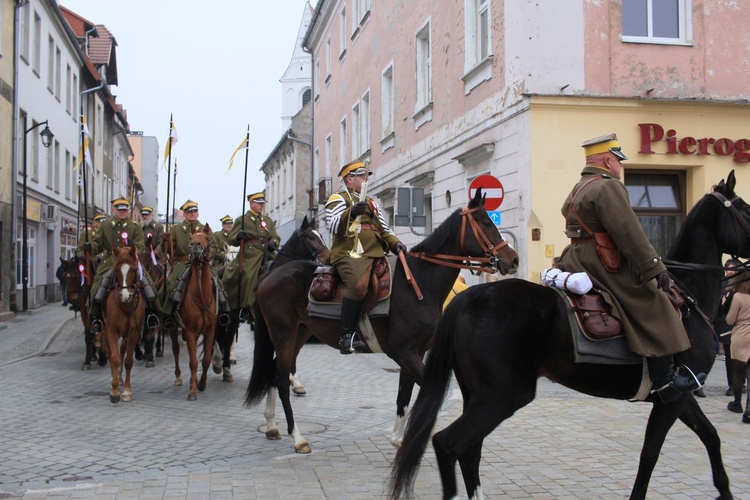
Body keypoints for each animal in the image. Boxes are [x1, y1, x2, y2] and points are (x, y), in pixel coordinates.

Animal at [101, 245, 145, 402]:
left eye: (133, 269)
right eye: (117, 270)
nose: (126, 296)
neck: (125, 306)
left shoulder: (133, 333)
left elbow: (128, 361)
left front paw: (126, 391)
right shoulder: (111, 331)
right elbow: (114, 357)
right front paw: (114, 391)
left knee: (122, 349)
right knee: (110, 352)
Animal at [169, 225, 219, 400]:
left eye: (206, 237)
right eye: (190, 238)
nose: (195, 245)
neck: (201, 296)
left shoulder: (210, 332)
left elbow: (206, 360)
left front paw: (202, 383)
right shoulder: (190, 331)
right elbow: (193, 362)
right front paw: (192, 390)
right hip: (173, 327)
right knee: (176, 349)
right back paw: (178, 377)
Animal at [212, 215, 328, 386]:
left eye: (320, 235)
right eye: (310, 236)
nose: (327, 256)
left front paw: (295, 381)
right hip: (230, 315)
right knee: (225, 339)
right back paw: (224, 367)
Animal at [244, 188, 520, 454]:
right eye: (485, 223)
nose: (514, 259)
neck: (418, 283)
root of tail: (269, 277)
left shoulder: (414, 353)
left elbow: (403, 396)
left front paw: (398, 439)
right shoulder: (403, 352)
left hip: (298, 334)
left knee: (273, 373)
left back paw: (271, 425)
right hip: (284, 334)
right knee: (280, 380)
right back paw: (298, 437)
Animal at [388, 170, 750, 498]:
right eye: (746, 209)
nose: (510, 259)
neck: (688, 297)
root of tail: (471, 296)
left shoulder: (680, 396)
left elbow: (710, 435)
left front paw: (725, 489)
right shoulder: (672, 398)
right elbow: (650, 454)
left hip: (478, 396)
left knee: (469, 451)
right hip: (500, 397)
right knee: (448, 443)